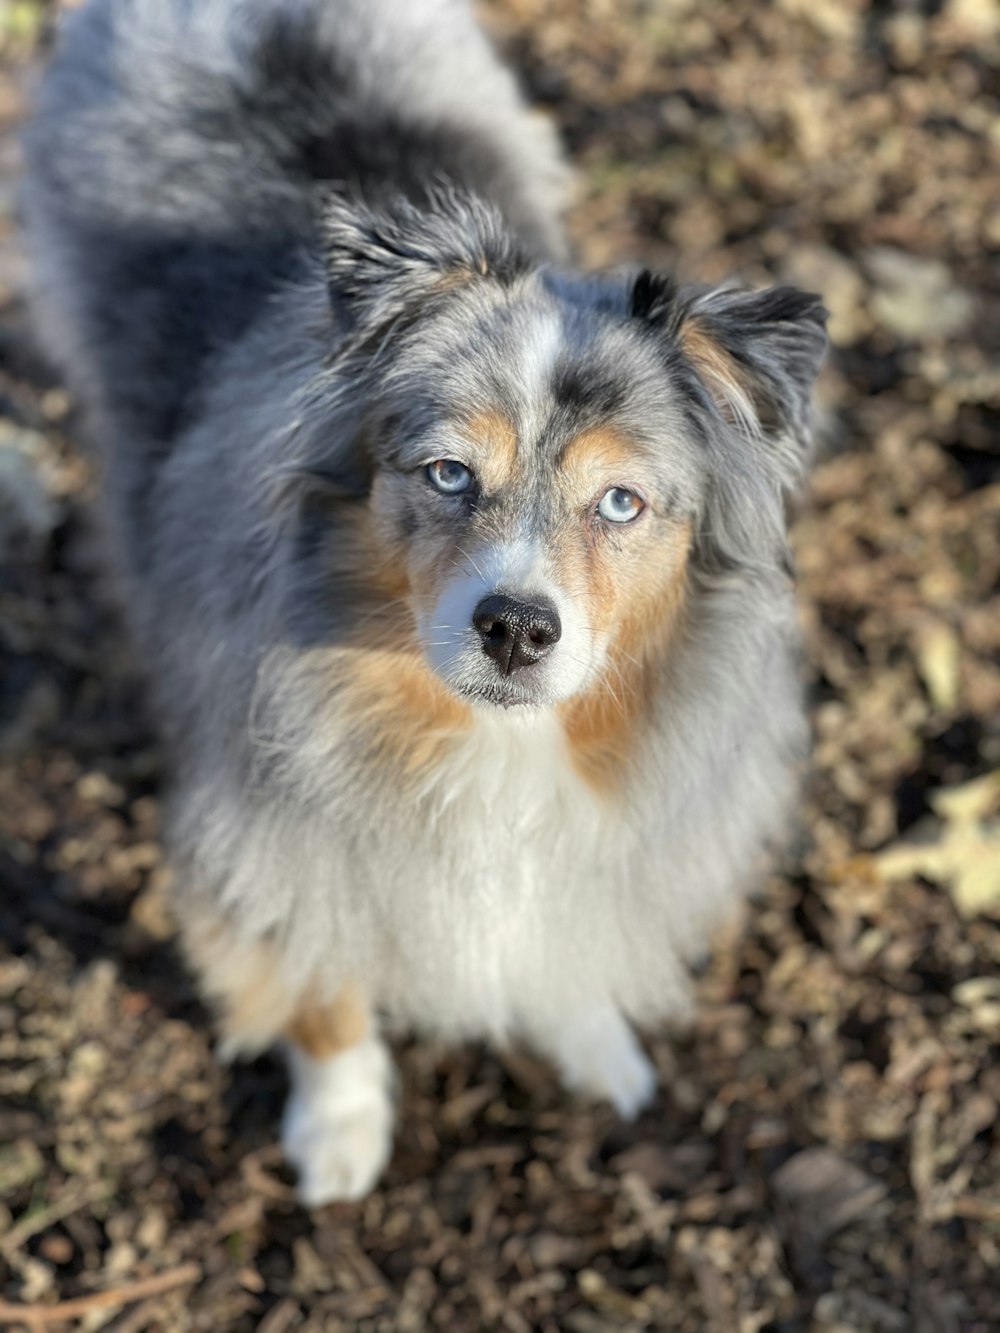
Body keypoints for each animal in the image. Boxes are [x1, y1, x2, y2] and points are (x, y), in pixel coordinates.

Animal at [21, 0, 832, 1210]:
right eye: (448, 473)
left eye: (622, 502)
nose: (516, 627)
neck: (496, 741)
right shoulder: (276, 830)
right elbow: (319, 982)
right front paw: (340, 1126)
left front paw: (592, 1039)